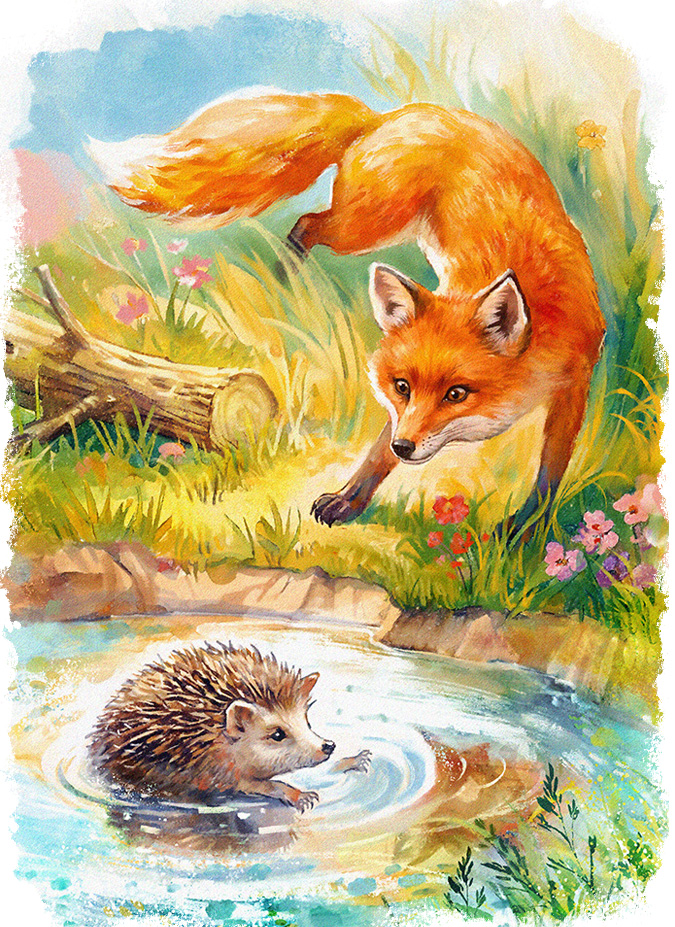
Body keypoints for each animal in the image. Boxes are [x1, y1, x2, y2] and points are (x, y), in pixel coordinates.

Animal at [88, 88, 605, 530]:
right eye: (402, 386)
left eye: (457, 393)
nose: (406, 445)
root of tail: (383, 117)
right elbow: (377, 454)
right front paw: (350, 498)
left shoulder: (575, 387)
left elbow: (549, 474)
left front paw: (525, 531)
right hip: (365, 226)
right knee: (307, 224)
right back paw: (285, 281)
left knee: (308, 224)